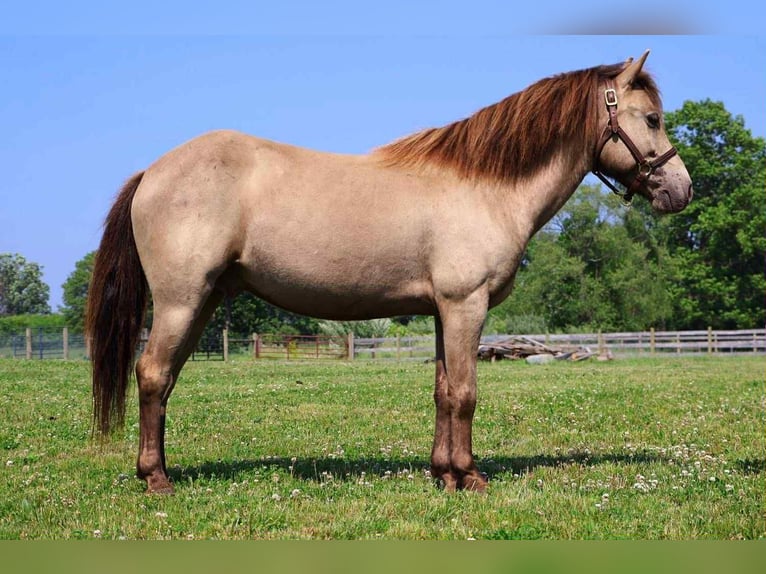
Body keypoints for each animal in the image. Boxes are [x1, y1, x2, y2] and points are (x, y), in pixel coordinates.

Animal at [86, 51, 692, 494]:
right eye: (653, 119)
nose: (681, 190)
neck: (486, 187)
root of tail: (153, 171)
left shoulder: (443, 312)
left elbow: (444, 392)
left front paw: (443, 473)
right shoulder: (466, 305)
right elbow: (466, 392)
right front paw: (470, 478)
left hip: (203, 301)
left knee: (164, 381)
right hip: (181, 301)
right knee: (152, 375)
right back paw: (156, 480)